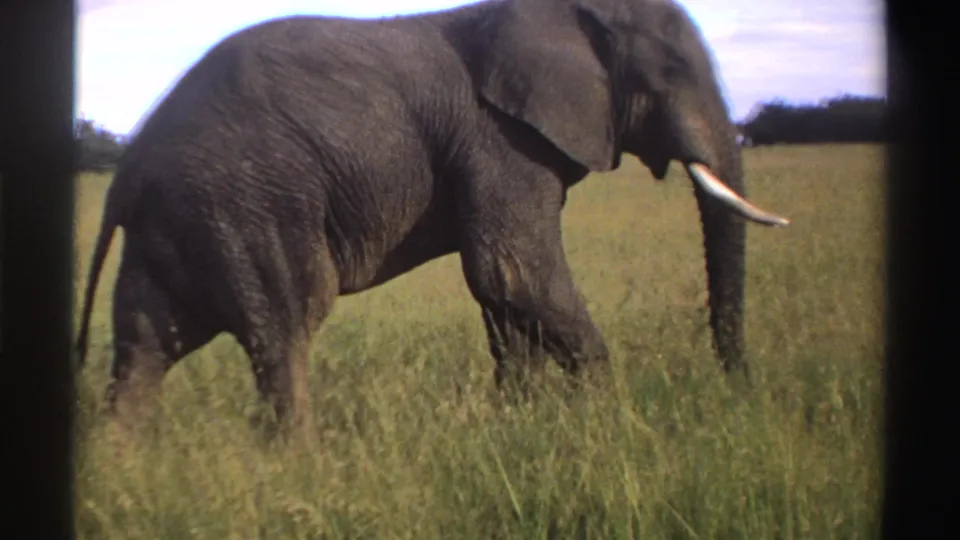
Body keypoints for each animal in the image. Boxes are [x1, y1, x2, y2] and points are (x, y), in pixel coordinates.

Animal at [75, 0, 790, 429]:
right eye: (672, 69)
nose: (740, 390)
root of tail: (130, 165)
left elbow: (506, 297)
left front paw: (521, 425)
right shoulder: (498, 140)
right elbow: (515, 273)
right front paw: (610, 419)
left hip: (180, 223)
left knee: (144, 349)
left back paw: (124, 465)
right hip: (249, 206)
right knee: (284, 330)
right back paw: (300, 465)